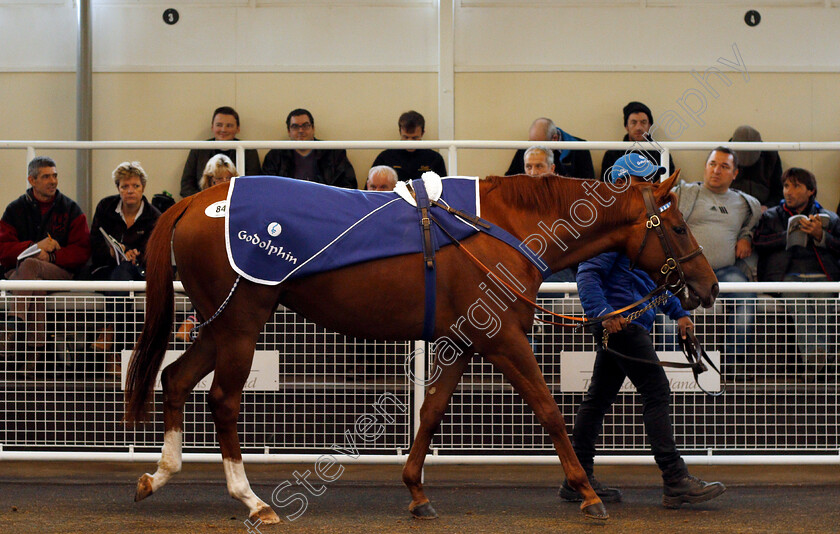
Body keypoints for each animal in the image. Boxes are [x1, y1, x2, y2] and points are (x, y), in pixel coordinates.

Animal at [123, 173, 716, 528]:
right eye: (678, 225)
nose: (707, 287)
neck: (500, 230)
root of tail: (195, 202)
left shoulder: (464, 340)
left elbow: (430, 412)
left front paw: (415, 491)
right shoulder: (503, 339)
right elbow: (549, 410)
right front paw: (587, 493)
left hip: (219, 324)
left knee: (176, 380)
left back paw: (159, 475)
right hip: (240, 324)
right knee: (222, 400)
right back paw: (252, 499)